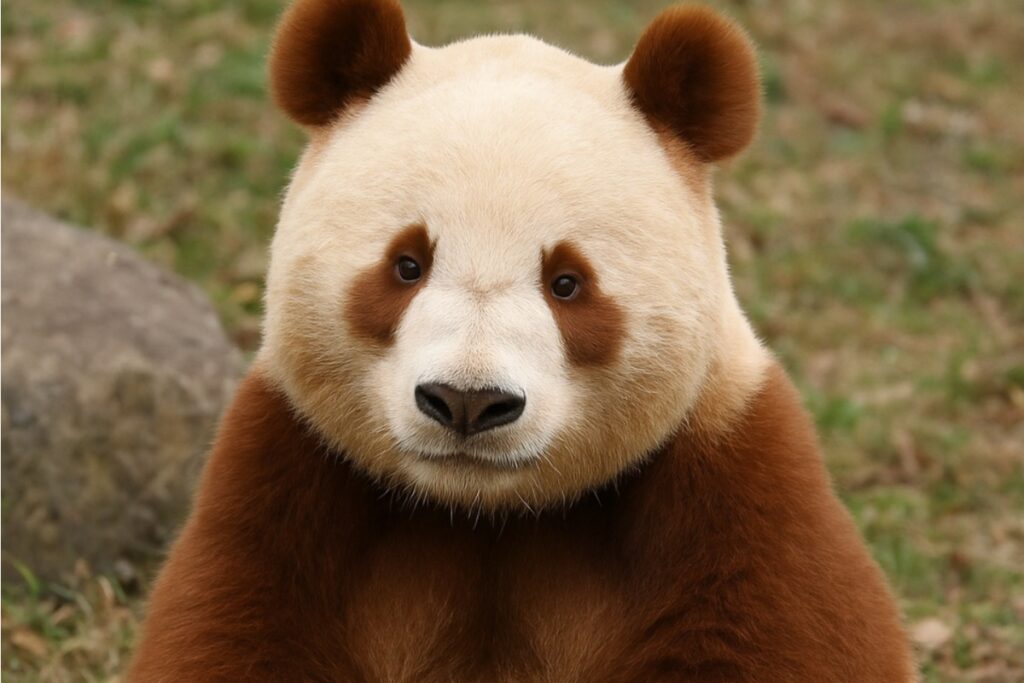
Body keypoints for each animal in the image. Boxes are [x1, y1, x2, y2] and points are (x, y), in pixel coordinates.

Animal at [129, 0, 915, 680]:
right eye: (407, 264)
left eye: (567, 282)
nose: (467, 402)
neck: (486, 513)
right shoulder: (288, 474)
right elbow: (235, 626)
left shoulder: (732, 479)